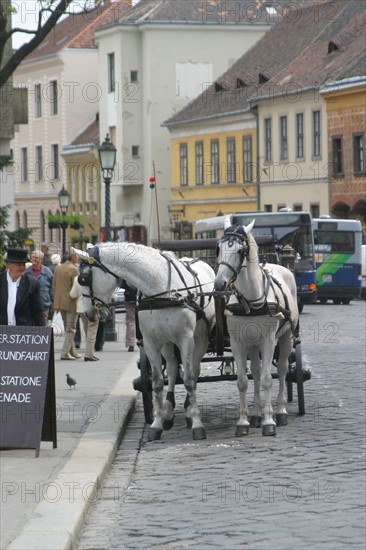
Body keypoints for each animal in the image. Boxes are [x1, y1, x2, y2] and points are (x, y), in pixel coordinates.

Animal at [70, 244, 216, 442]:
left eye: (83, 279)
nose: (88, 313)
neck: (162, 289)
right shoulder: (151, 342)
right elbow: (157, 382)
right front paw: (157, 424)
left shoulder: (185, 339)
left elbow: (188, 380)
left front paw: (197, 423)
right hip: (167, 344)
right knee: (172, 369)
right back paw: (168, 411)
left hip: (199, 340)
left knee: (194, 371)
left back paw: (187, 410)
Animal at [213, 220, 298, 436]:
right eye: (219, 248)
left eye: (240, 250)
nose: (220, 283)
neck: (250, 301)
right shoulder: (238, 343)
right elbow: (244, 381)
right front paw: (243, 422)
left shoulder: (268, 341)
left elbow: (268, 379)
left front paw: (269, 421)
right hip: (252, 345)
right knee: (257, 373)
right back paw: (256, 415)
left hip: (286, 338)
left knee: (282, 370)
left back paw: (280, 411)